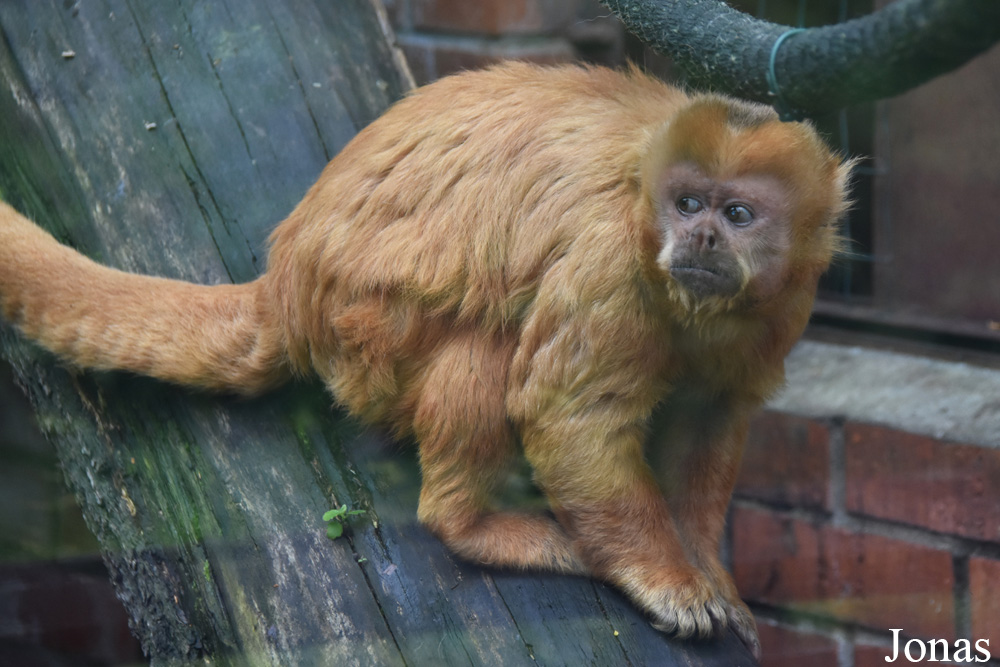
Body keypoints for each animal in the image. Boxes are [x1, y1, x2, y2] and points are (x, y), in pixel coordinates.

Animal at [0, 62, 852, 656]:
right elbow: (567, 414)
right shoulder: (612, 262)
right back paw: (468, 524)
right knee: (490, 343)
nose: (700, 237)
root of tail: (290, 275)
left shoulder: (784, 306)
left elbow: (709, 420)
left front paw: (711, 574)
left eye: (736, 214)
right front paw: (669, 580)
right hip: (366, 325)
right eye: (686, 204)